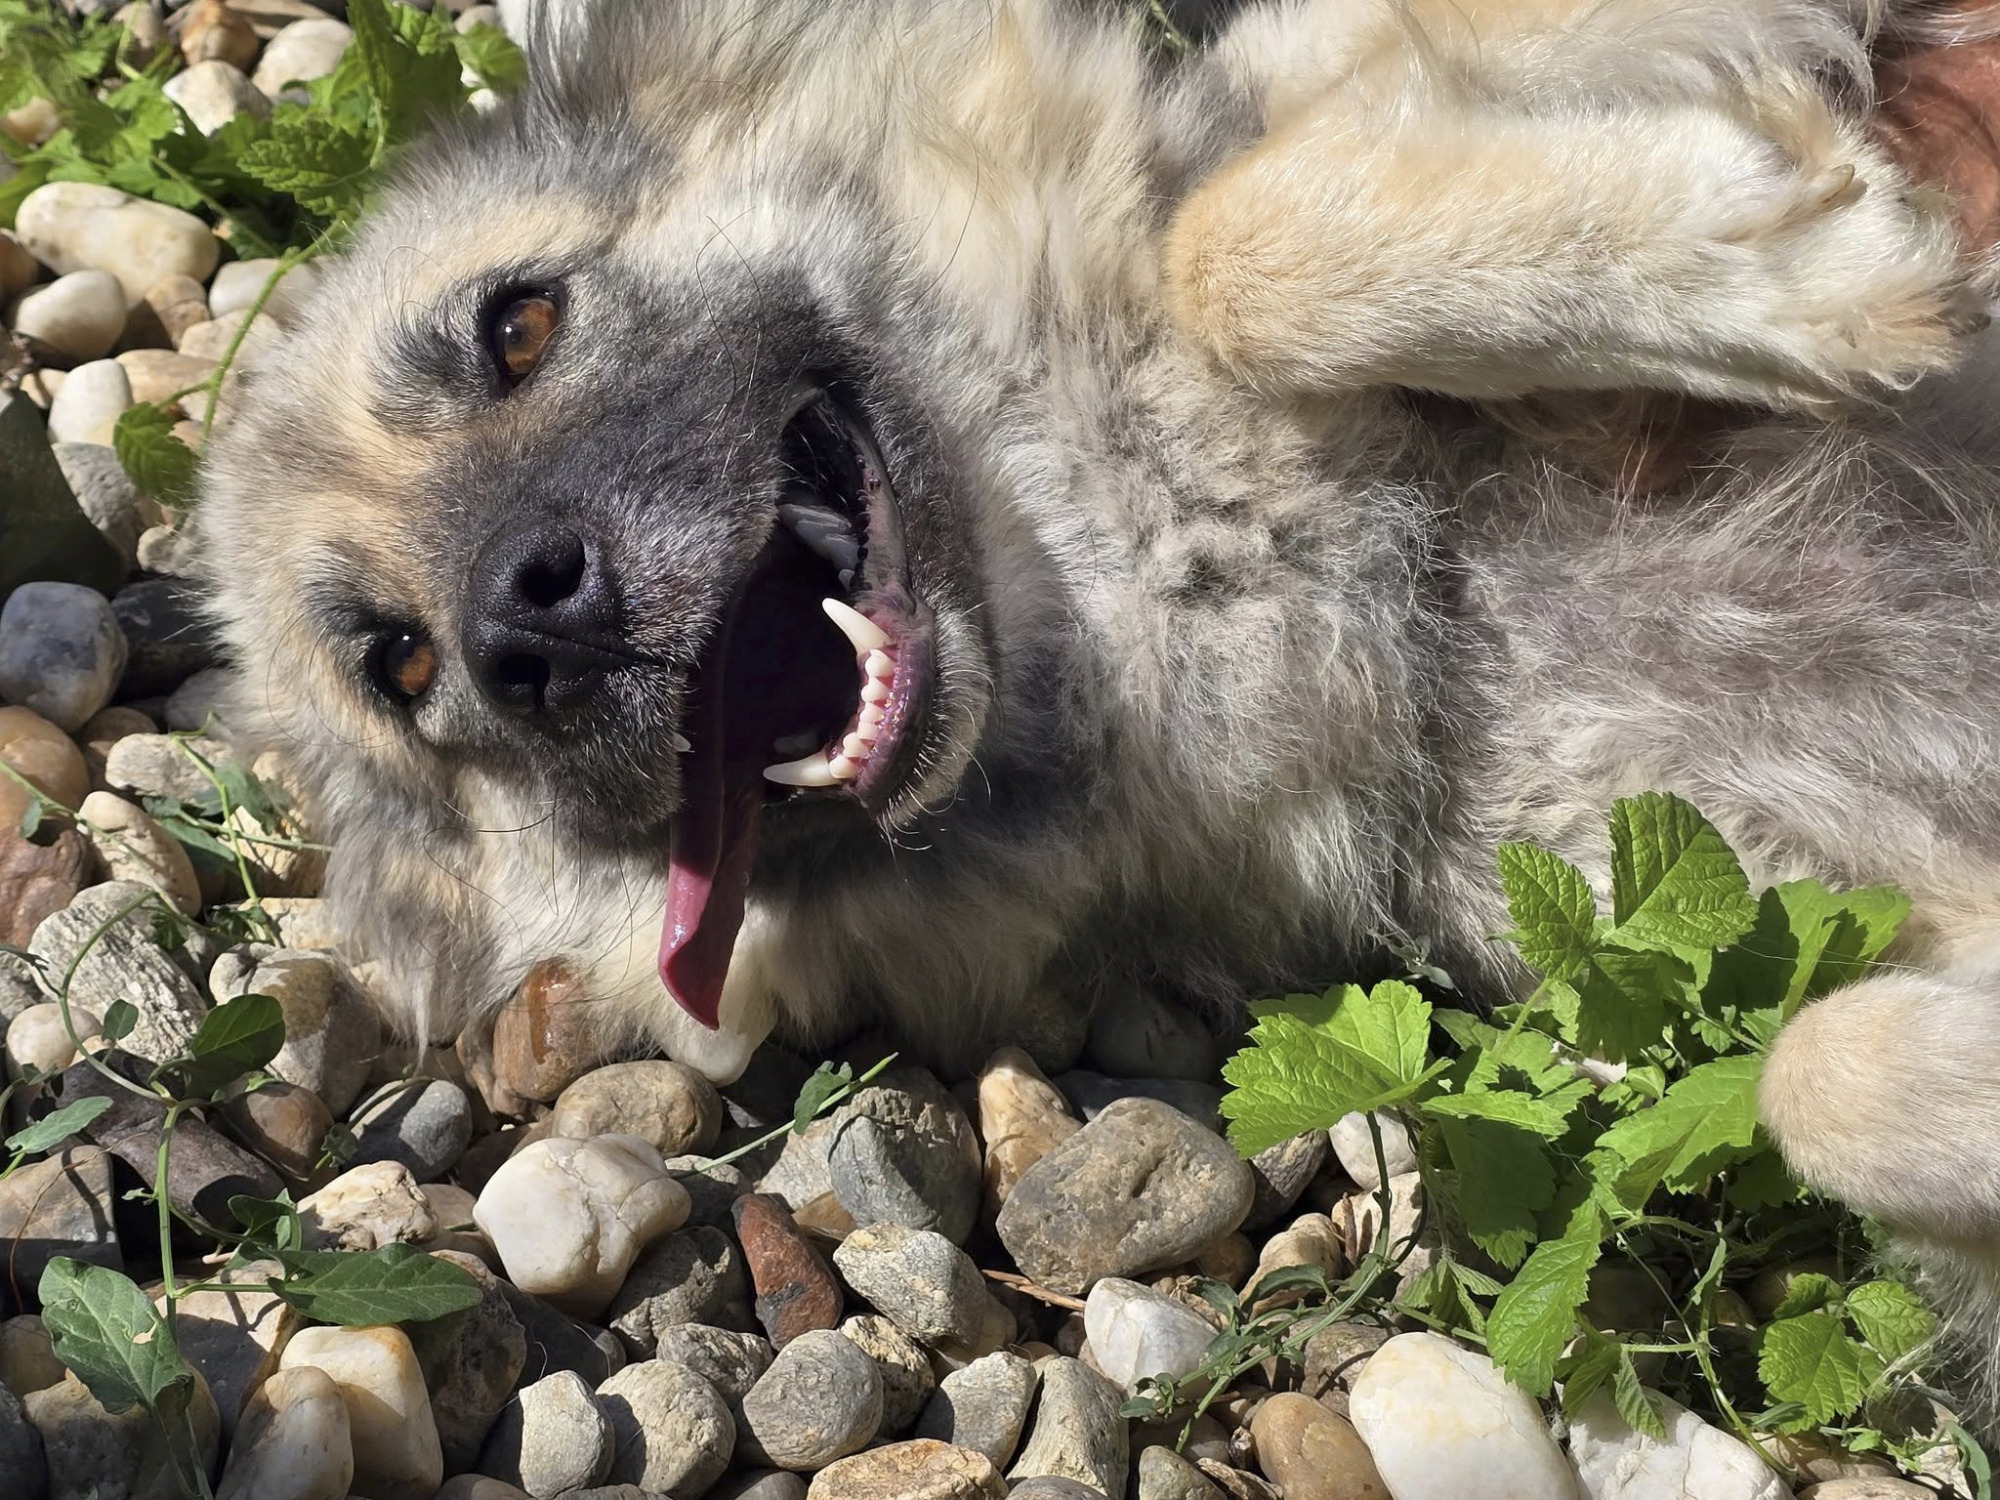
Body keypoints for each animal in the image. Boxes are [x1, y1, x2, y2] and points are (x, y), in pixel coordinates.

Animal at [197, 0, 2000, 1385]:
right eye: (400, 664)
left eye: (520, 324)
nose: (527, 628)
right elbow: (1813, 1070)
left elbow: (1228, 236)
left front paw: (1797, 273)